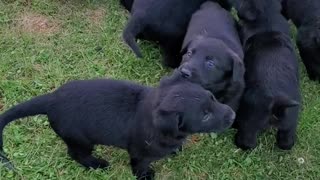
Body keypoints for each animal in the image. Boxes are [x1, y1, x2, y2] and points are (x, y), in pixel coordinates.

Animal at [0, 73, 235, 179]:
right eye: (205, 116)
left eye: (212, 97)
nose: (233, 115)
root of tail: (51, 100)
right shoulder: (140, 153)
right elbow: (139, 166)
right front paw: (145, 176)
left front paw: (176, 148)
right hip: (80, 140)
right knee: (76, 154)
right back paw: (97, 164)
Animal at [232, 0, 300, 150]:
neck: (267, 18)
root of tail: (275, 101)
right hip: (290, 117)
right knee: (287, 139)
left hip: (249, 122)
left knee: (248, 140)